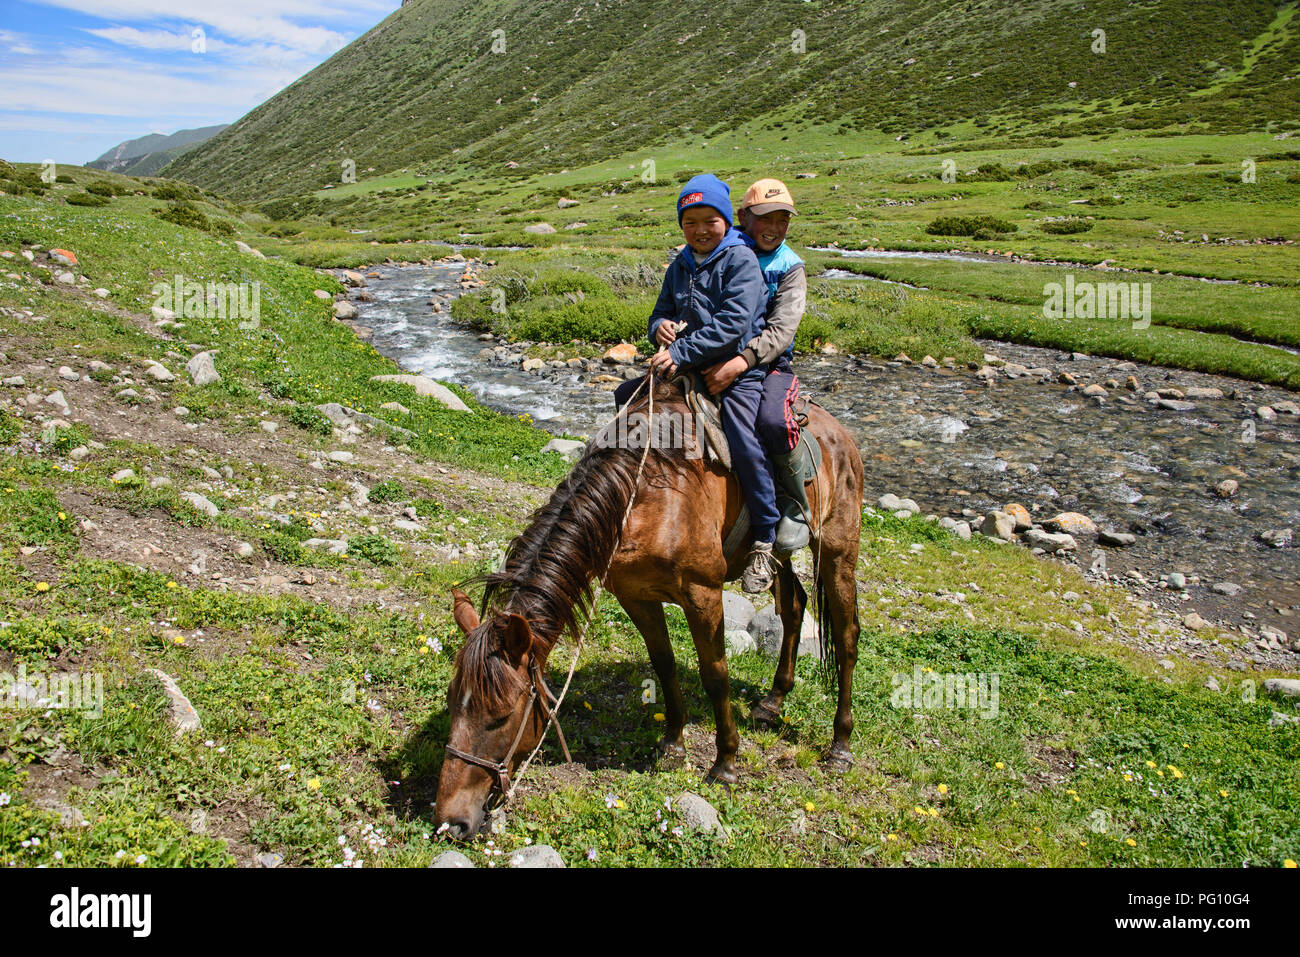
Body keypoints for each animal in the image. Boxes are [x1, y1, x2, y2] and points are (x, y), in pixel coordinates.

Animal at [436, 377, 863, 842]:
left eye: (501, 717)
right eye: (452, 700)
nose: (450, 822)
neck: (642, 497)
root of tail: (841, 434)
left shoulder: (702, 594)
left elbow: (716, 676)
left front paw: (725, 764)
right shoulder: (634, 594)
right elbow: (664, 663)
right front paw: (673, 741)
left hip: (838, 552)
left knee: (846, 636)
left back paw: (840, 745)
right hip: (782, 560)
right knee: (793, 606)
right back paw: (772, 703)